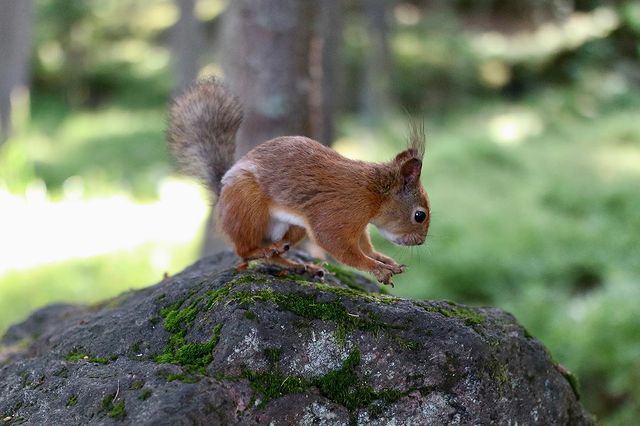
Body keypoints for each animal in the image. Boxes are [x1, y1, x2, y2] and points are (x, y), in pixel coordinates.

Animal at [168, 78, 430, 286]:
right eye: (420, 215)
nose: (420, 242)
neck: (373, 193)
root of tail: (222, 193)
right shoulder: (338, 214)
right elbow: (341, 247)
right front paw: (377, 268)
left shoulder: (359, 225)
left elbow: (365, 245)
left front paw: (384, 259)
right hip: (248, 208)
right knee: (244, 250)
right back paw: (263, 250)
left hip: (293, 228)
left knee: (272, 255)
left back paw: (299, 265)